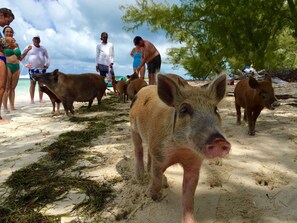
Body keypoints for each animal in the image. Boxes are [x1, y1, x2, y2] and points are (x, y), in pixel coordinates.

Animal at [128, 73, 230, 223]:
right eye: (184, 109)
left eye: (215, 109)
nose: (218, 140)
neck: (181, 149)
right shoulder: (159, 154)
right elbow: (156, 179)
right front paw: (152, 196)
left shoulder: (194, 164)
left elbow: (189, 195)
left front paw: (190, 221)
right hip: (133, 128)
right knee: (138, 150)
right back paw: (140, 178)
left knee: (148, 154)